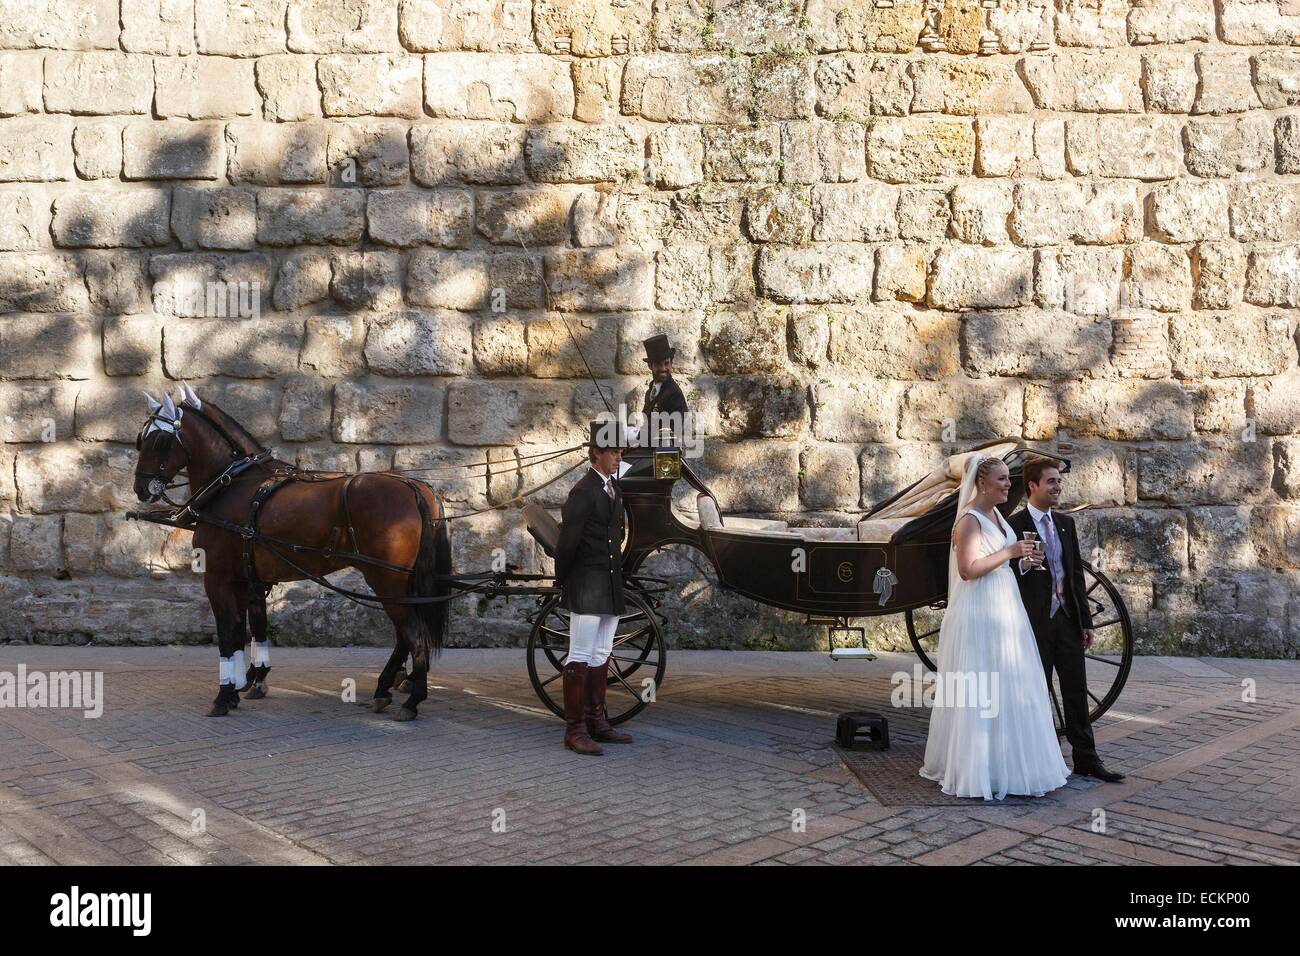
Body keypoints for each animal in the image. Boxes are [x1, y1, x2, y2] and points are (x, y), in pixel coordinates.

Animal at [133, 385, 452, 723]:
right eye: (143, 438)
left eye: (159, 440)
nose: (140, 487)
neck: (233, 486)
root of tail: (414, 488)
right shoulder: (245, 579)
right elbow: (249, 627)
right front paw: (245, 684)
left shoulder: (218, 578)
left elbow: (228, 635)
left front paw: (225, 694)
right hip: (400, 584)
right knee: (405, 635)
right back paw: (386, 688)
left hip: (387, 580)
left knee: (413, 635)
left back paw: (412, 699)